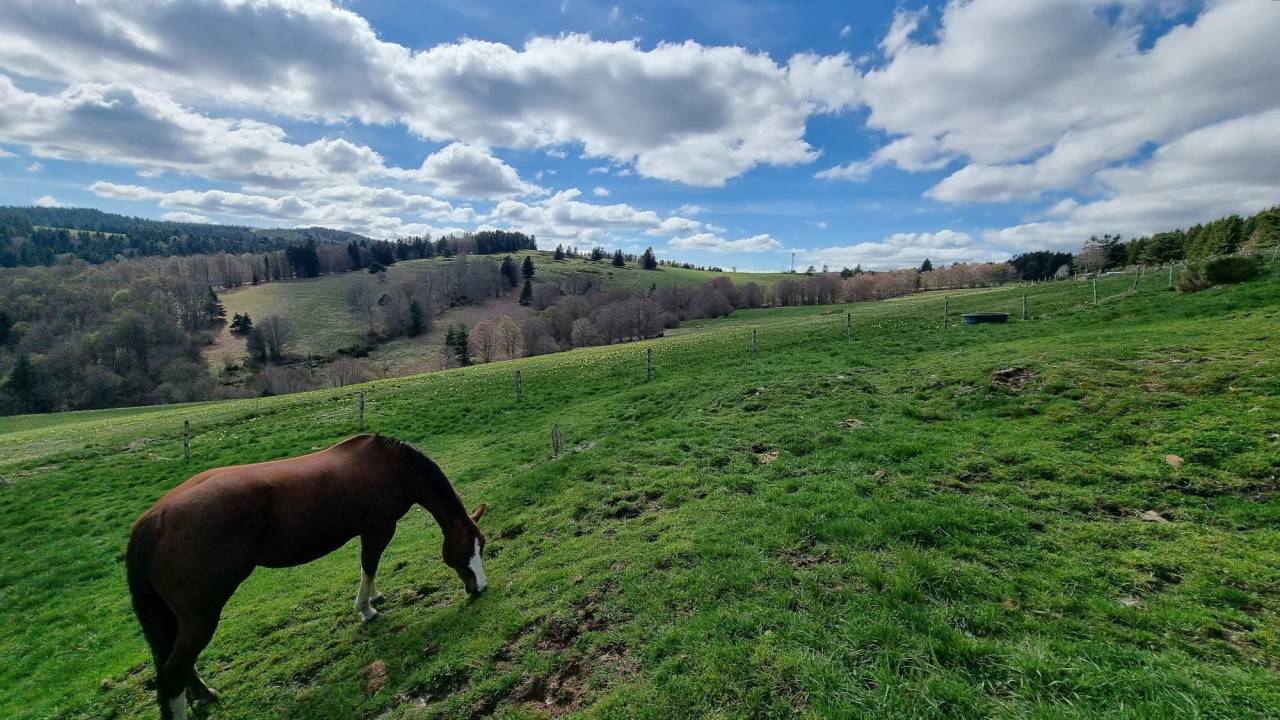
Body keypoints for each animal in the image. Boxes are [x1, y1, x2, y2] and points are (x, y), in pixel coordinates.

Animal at [125, 434, 488, 720]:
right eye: (464, 551)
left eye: (482, 545)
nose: (480, 588)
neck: (391, 465)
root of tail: (152, 522)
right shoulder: (379, 528)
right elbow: (369, 565)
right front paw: (366, 608)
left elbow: (369, 568)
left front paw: (374, 597)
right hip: (201, 615)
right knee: (173, 673)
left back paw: (205, 695)